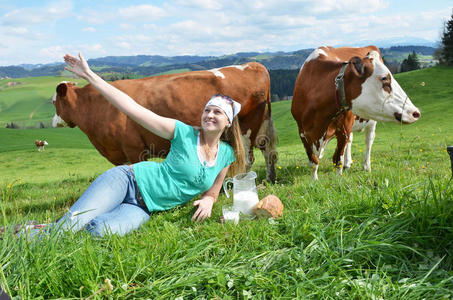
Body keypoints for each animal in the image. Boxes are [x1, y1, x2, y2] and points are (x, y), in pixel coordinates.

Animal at [51, 62, 278, 182]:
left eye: (53, 102)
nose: (53, 122)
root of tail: (252, 65)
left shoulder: (134, 149)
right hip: (263, 125)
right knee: (268, 152)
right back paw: (269, 179)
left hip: (246, 129)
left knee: (247, 158)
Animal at [292, 45, 418, 179]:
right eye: (384, 78)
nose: (415, 113)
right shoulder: (302, 132)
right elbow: (313, 162)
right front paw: (314, 180)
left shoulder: (343, 129)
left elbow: (337, 160)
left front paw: (338, 179)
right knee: (351, 140)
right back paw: (348, 163)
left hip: (371, 122)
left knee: (368, 141)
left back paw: (366, 166)